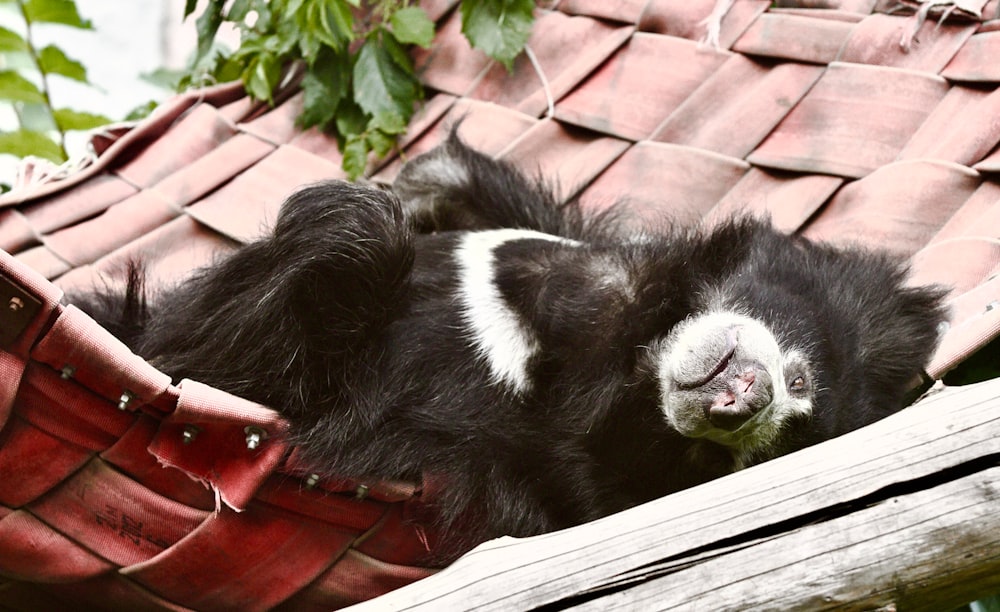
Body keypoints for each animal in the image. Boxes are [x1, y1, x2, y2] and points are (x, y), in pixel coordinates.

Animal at [76, 135, 944, 560]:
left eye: (752, 454)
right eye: (797, 377)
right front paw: (420, 184)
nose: (741, 401)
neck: (624, 353)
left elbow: (212, 356)